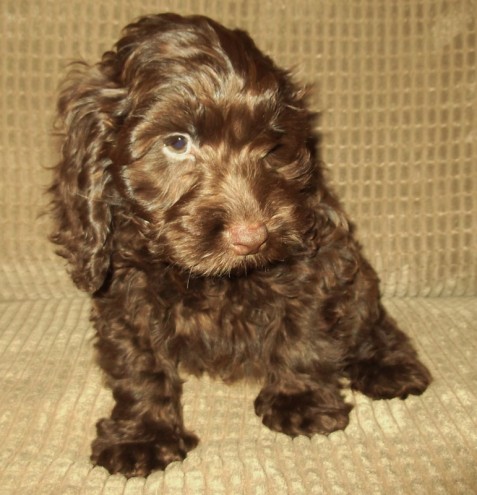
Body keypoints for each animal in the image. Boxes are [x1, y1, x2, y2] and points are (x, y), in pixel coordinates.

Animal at [49, 12, 432, 476]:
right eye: (177, 142)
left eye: (272, 146)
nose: (253, 237)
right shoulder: (125, 290)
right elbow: (139, 361)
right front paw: (142, 434)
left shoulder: (316, 259)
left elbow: (304, 334)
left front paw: (300, 400)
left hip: (356, 276)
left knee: (371, 321)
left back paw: (390, 365)